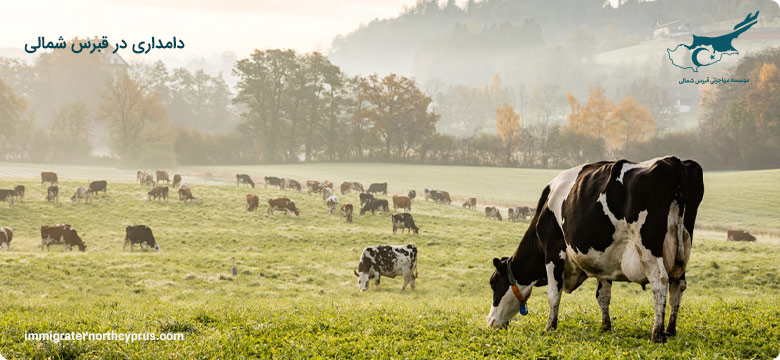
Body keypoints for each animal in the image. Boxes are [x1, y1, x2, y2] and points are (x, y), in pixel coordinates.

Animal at [484, 158, 704, 344]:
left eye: (493, 283)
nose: (490, 322)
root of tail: (672, 161)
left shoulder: (553, 251)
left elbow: (553, 294)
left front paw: (549, 327)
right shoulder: (604, 260)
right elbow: (603, 295)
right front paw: (605, 326)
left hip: (648, 247)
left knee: (660, 281)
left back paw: (657, 333)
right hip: (682, 249)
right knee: (678, 285)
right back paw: (670, 330)